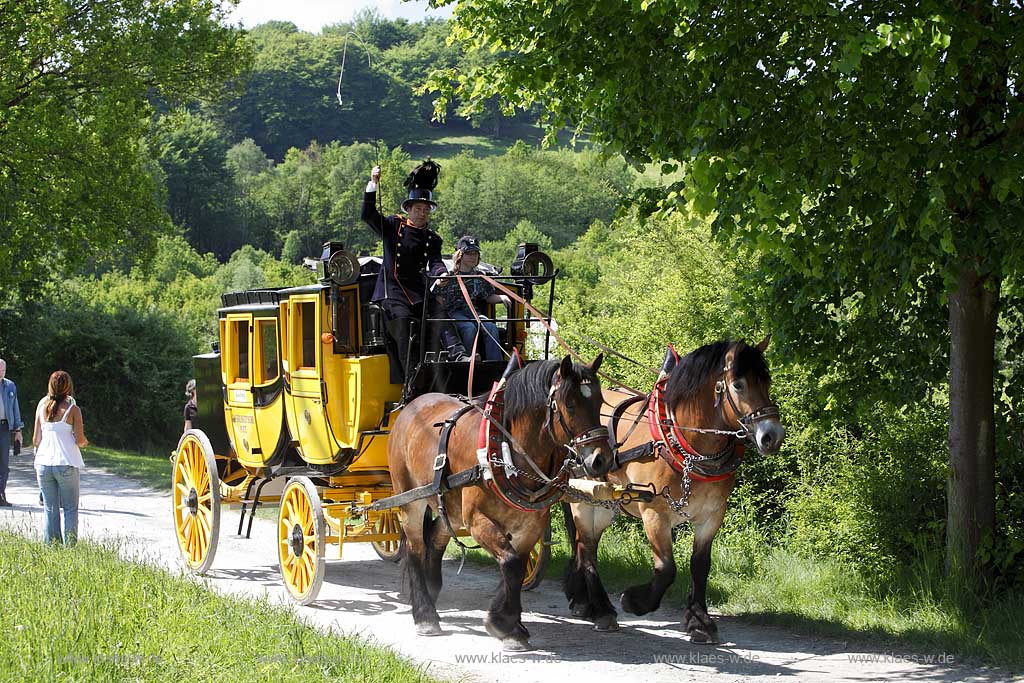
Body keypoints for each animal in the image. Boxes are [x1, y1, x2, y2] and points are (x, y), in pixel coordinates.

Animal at [387, 358, 610, 651]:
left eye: (599, 402)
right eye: (570, 405)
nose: (600, 460)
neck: (505, 452)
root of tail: (411, 405)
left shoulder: (530, 524)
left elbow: (515, 565)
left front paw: (511, 625)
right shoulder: (477, 520)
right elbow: (511, 562)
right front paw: (502, 623)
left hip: (450, 507)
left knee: (435, 537)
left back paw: (433, 592)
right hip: (410, 500)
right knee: (415, 549)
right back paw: (425, 615)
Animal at [561, 339, 782, 643]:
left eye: (767, 381)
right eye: (738, 385)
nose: (772, 436)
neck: (687, 444)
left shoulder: (711, 515)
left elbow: (700, 565)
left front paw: (700, 622)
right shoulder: (655, 512)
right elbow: (666, 568)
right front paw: (636, 601)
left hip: (605, 503)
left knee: (584, 546)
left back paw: (583, 601)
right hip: (585, 502)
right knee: (587, 550)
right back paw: (601, 609)